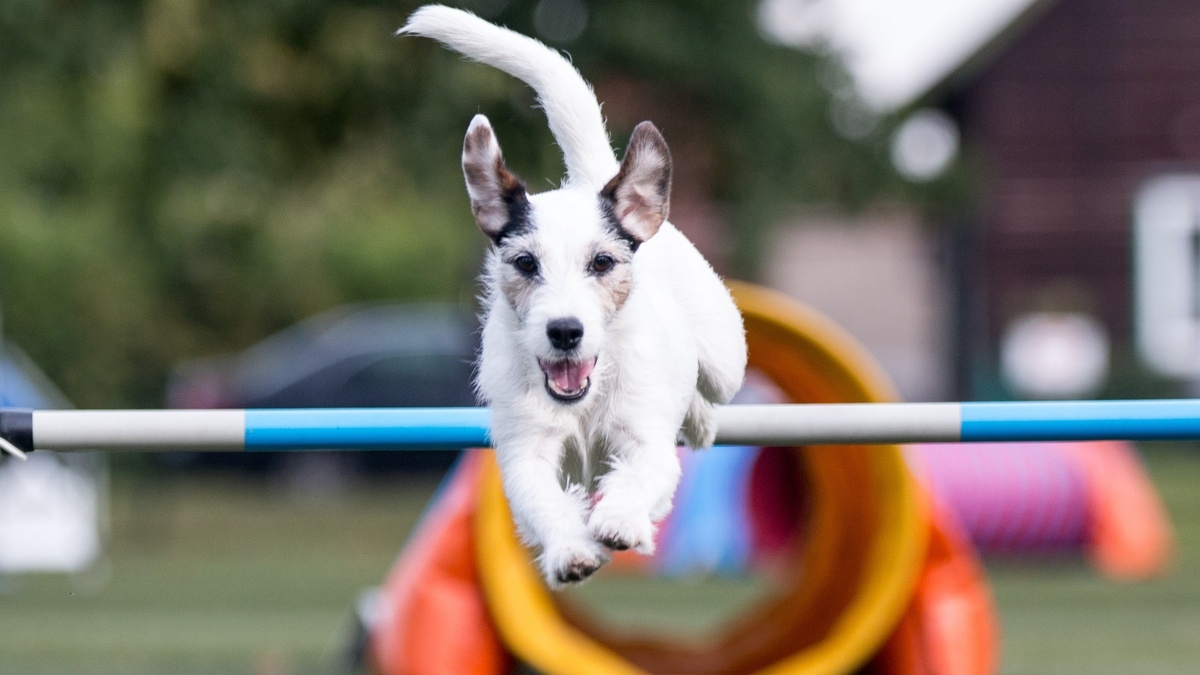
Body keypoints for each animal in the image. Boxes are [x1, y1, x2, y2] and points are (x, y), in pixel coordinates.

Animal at [398, 3, 744, 583]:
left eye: (601, 262)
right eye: (525, 263)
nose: (564, 332)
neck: (585, 399)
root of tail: (592, 178)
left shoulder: (644, 438)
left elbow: (640, 474)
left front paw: (620, 521)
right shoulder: (525, 451)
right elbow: (542, 500)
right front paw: (572, 549)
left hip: (725, 359)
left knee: (709, 385)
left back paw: (700, 421)